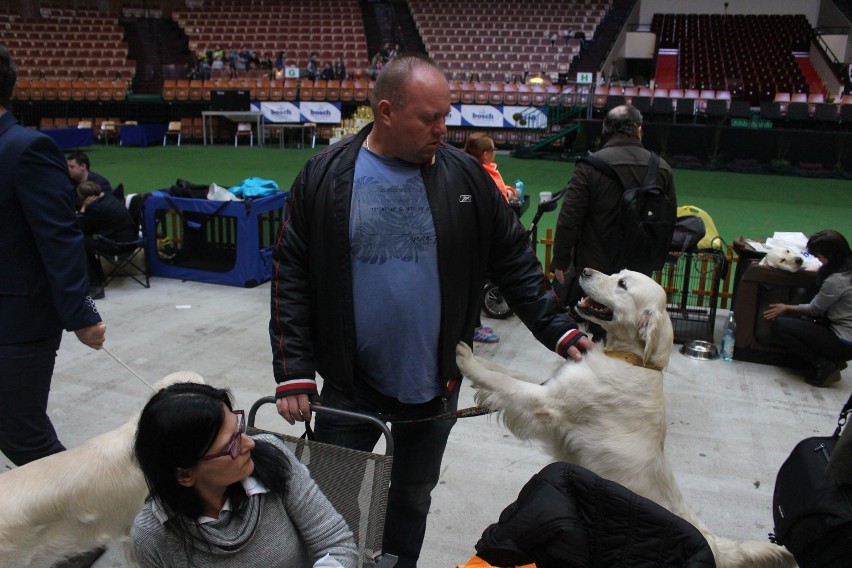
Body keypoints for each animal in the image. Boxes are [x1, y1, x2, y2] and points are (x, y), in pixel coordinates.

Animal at [456, 270, 796, 568]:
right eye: (618, 273)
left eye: (622, 284)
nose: (585, 270)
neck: (631, 360)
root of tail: (718, 547)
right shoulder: (551, 386)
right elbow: (507, 374)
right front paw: (480, 361)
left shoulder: (547, 403)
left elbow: (506, 384)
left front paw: (466, 360)